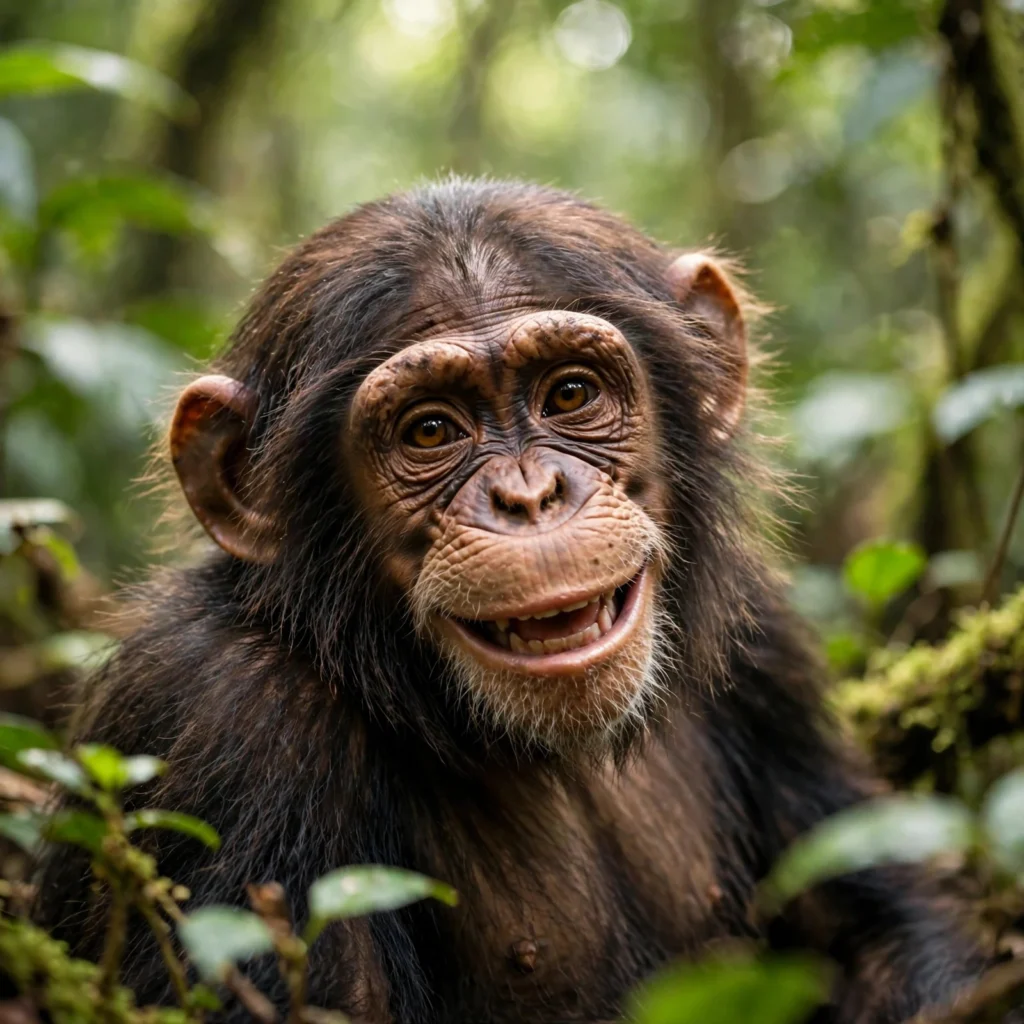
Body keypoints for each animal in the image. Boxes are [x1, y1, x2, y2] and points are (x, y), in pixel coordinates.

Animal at [34, 178, 985, 1023]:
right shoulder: (219, 719)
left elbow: (882, 913)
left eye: (570, 393)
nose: (528, 496)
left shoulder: (764, 637)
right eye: (429, 430)